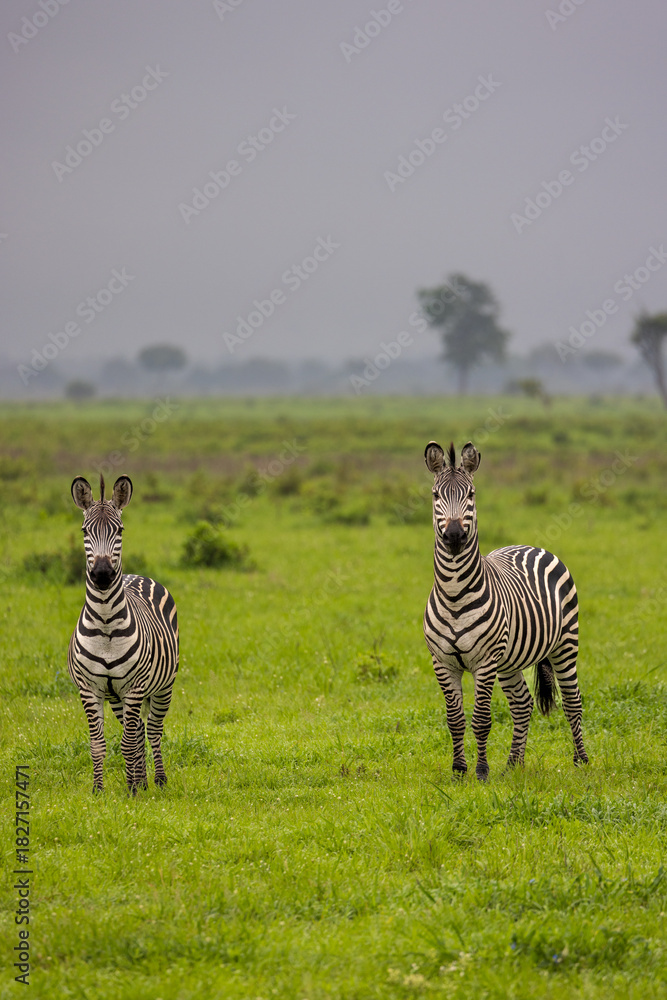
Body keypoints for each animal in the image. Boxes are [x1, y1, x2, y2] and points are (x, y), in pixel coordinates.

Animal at [68, 475, 179, 794]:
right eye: (84, 530)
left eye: (119, 530)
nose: (103, 575)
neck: (105, 624)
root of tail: (137, 576)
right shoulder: (90, 689)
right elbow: (98, 744)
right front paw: (99, 790)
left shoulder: (135, 687)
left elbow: (128, 743)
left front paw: (131, 792)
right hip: (115, 696)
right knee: (139, 730)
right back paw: (140, 781)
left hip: (163, 686)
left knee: (152, 730)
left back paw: (157, 780)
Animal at [423, 440, 588, 781]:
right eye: (435, 495)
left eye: (471, 494)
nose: (455, 536)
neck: (454, 593)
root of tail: (531, 546)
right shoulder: (442, 662)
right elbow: (455, 720)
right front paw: (458, 771)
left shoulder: (485, 662)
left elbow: (481, 719)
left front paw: (481, 772)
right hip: (511, 661)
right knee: (523, 704)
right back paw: (514, 764)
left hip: (566, 644)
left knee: (572, 701)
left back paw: (581, 760)